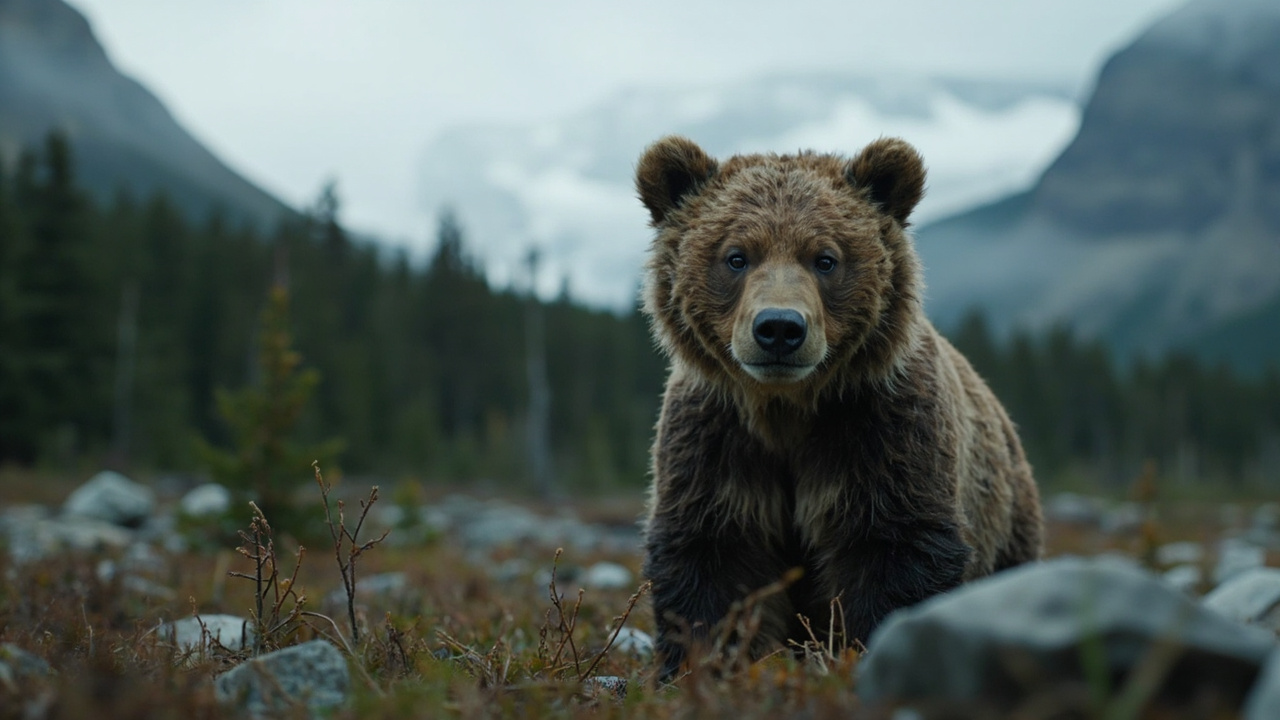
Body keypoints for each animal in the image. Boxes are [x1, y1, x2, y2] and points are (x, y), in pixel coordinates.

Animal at [635, 135, 1043, 680]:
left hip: (1007, 523)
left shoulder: (880, 431)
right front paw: (707, 664)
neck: (786, 409)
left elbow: (893, 549)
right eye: (736, 256)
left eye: (825, 258)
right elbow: (714, 557)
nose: (779, 327)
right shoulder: (717, 441)